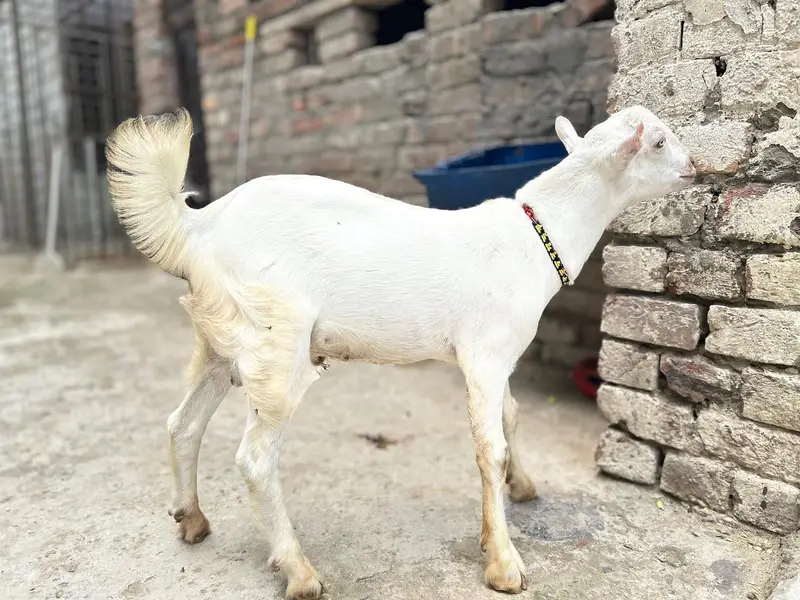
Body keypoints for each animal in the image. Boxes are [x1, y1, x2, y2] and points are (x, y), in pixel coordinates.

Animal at [105, 106, 695, 598]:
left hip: (220, 336)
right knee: (254, 457)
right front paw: (504, 563)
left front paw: (523, 487)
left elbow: (511, 417)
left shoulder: (500, 354)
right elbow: (491, 447)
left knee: (183, 423)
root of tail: (198, 224)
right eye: (660, 141)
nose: (697, 166)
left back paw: (191, 518)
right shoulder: (483, 355)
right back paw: (299, 571)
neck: (535, 236)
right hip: (275, 336)